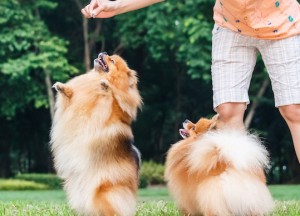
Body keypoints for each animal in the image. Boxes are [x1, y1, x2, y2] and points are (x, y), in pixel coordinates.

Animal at [50, 52, 142, 216]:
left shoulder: (113, 111)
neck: (95, 79)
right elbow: (71, 95)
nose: (103, 53)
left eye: (112, 60)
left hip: (104, 191)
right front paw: (63, 88)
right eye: (109, 55)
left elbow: (112, 99)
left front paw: (106, 86)